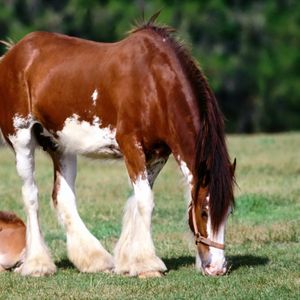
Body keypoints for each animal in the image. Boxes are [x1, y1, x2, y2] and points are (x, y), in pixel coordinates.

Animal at [0, 15, 236, 278]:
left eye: (228, 212)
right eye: (204, 212)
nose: (217, 267)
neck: (154, 83)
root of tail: (12, 53)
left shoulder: (157, 155)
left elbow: (137, 200)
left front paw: (127, 260)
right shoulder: (131, 146)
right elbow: (145, 201)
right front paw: (147, 265)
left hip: (61, 146)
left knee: (63, 197)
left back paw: (94, 260)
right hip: (22, 139)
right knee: (31, 195)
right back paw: (38, 264)